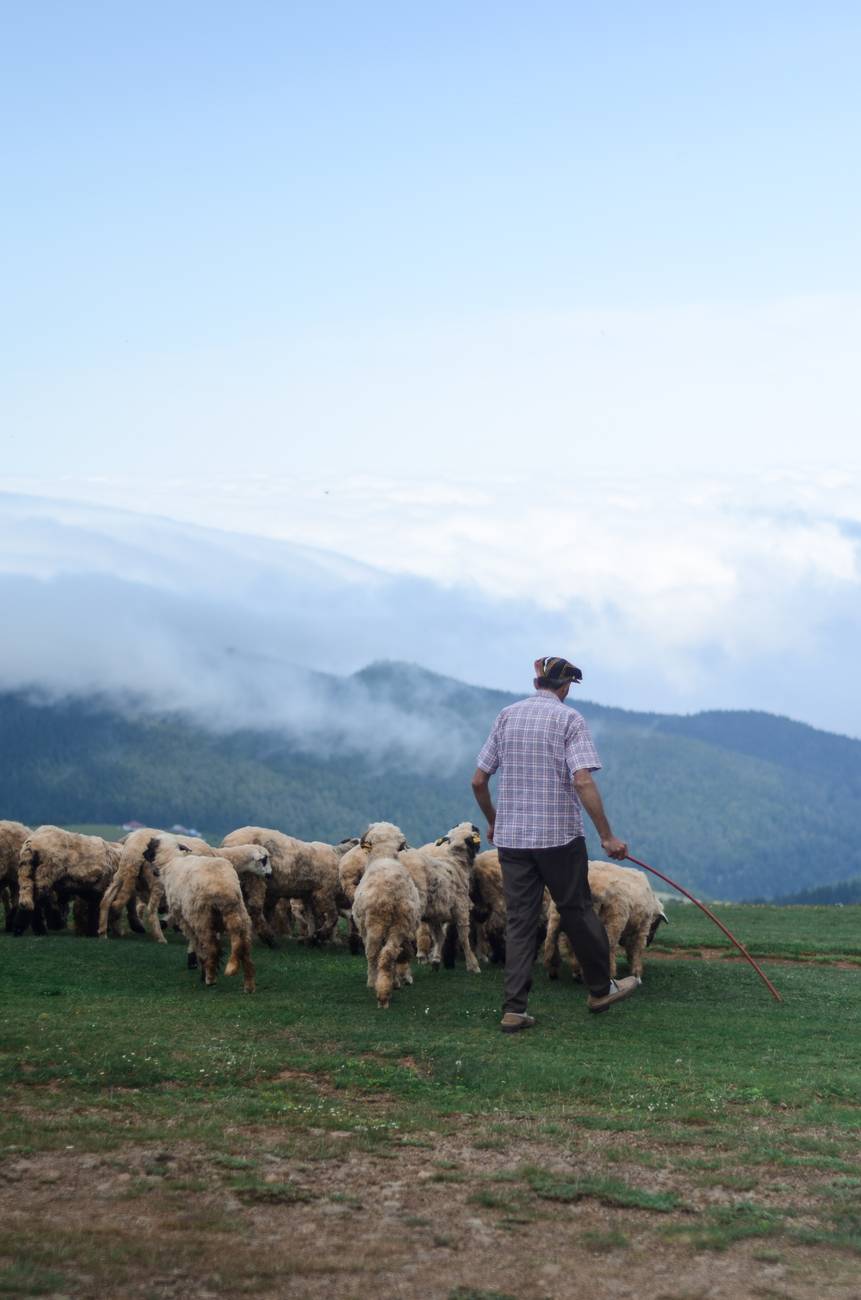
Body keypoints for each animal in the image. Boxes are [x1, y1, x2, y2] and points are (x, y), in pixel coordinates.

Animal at [155, 847, 273, 987]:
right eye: (264, 859)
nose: (270, 875)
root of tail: (224, 889)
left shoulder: (185, 919)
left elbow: (200, 946)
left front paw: (201, 967)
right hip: (239, 916)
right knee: (244, 950)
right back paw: (248, 985)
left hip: (202, 919)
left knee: (211, 948)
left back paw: (210, 978)